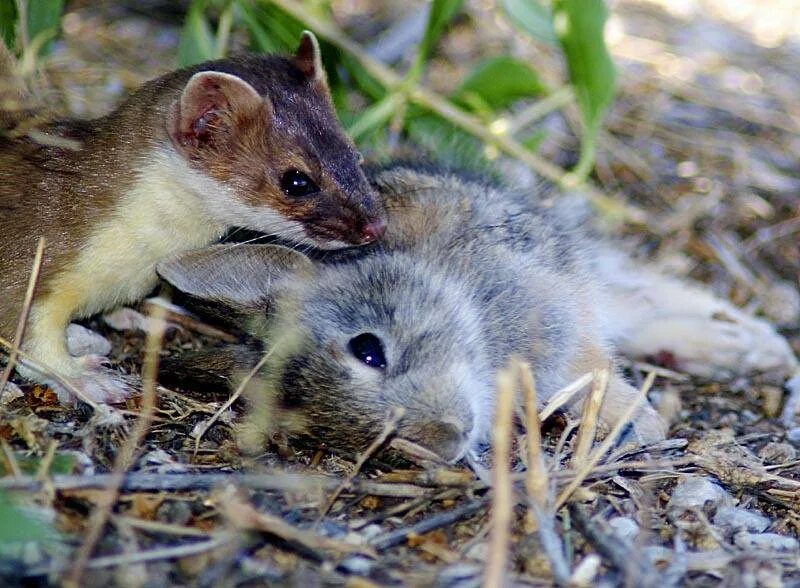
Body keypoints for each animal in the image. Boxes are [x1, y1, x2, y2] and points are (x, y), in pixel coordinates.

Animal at [0, 29, 388, 402]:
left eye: (353, 153)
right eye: (297, 180)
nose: (376, 226)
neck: (139, 257)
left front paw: (144, 315)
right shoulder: (36, 251)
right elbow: (29, 335)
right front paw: (87, 379)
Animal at [158, 163, 800, 462]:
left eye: (368, 350)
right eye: (319, 426)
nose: (441, 440)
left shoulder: (557, 320)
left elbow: (592, 374)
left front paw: (638, 425)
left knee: (637, 295)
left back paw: (755, 344)